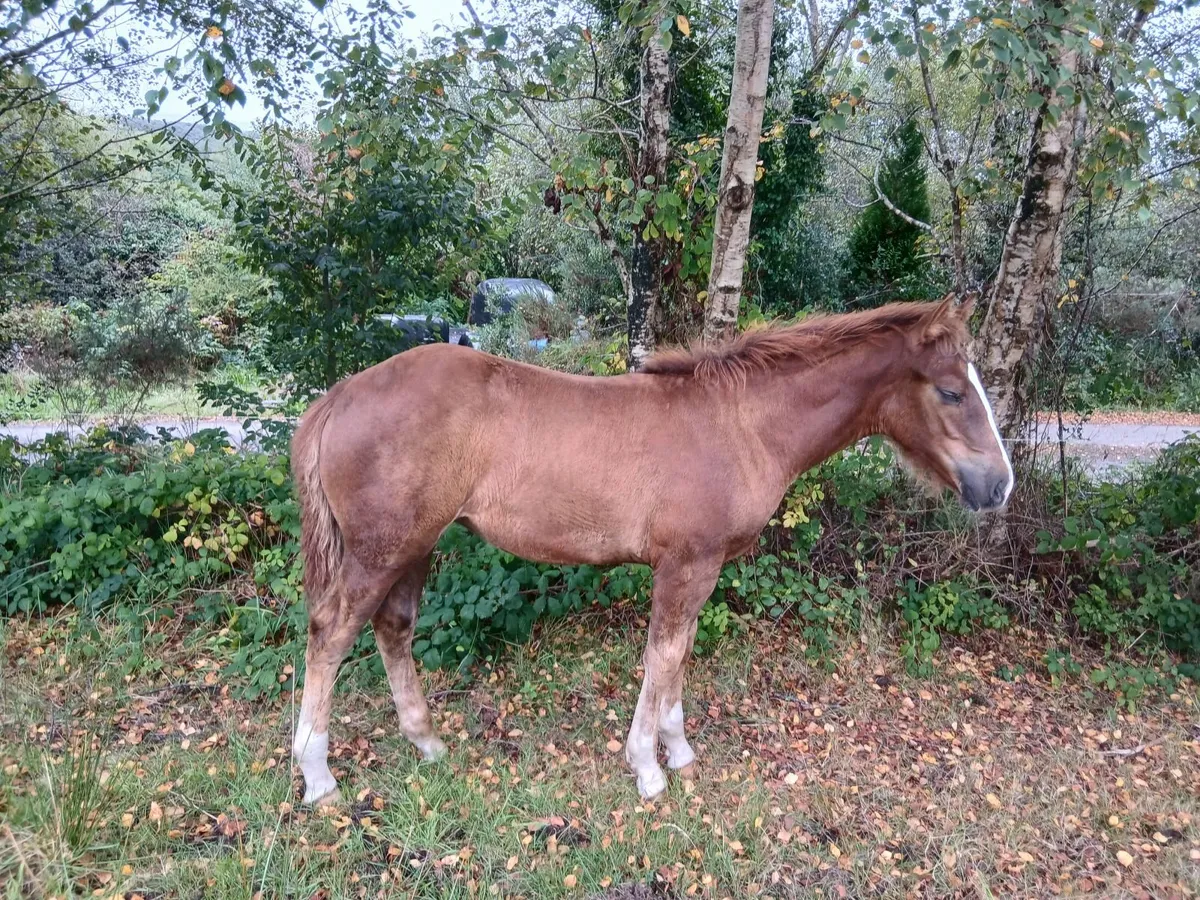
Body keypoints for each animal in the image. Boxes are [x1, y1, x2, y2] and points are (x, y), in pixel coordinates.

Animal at [289, 295, 1013, 806]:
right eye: (951, 390)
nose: (998, 485)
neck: (741, 426)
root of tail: (341, 394)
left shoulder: (701, 568)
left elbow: (679, 654)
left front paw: (678, 748)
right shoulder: (686, 564)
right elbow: (661, 655)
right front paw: (647, 769)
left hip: (414, 546)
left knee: (393, 627)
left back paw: (427, 742)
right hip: (382, 550)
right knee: (331, 631)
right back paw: (318, 777)